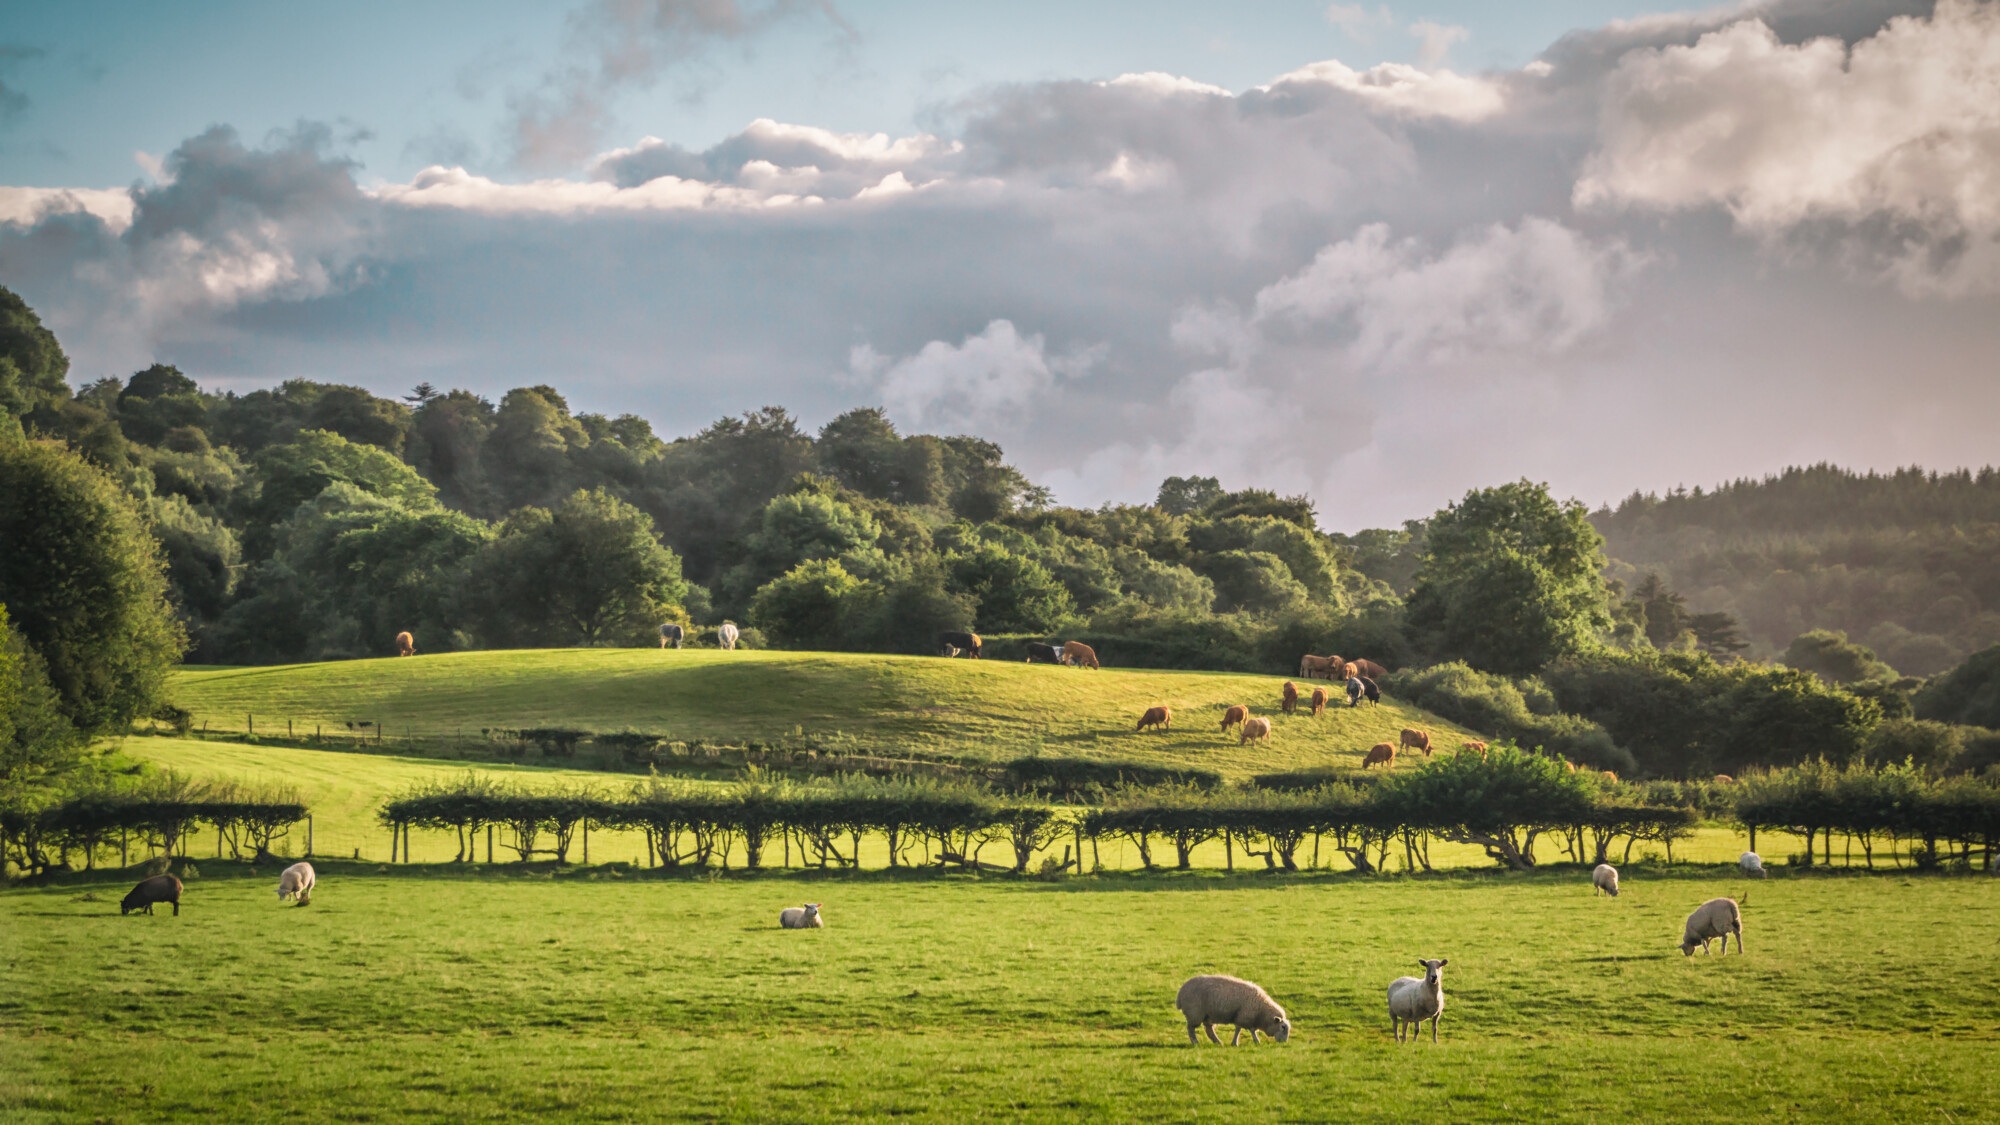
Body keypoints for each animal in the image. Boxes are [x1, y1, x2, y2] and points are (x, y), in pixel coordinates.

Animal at [1168, 968, 1296, 1040]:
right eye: (1283, 1027)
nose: (1284, 1043)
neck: (1262, 1010)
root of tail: (1180, 993)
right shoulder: (1244, 1017)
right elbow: (1246, 1030)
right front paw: (1253, 1041)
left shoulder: (1244, 1017)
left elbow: (1244, 1030)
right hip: (1195, 1013)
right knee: (1191, 1029)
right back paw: (1196, 1043)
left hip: (1207, 1015)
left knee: (1209, 1030)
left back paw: (1218, 1042)